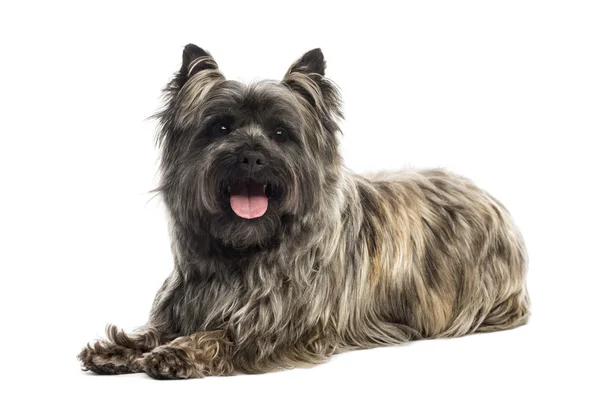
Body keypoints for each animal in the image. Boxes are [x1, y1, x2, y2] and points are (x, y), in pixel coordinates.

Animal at [76, 44, 528, 380]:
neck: (245, 249)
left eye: (281, 133)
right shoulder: (184, 302)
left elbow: (222, 336)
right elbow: (153, 329)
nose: (251, 157)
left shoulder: (279, 326)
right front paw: (119, 347)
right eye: (220, 127)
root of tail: (490, 199)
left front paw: (177, 353)